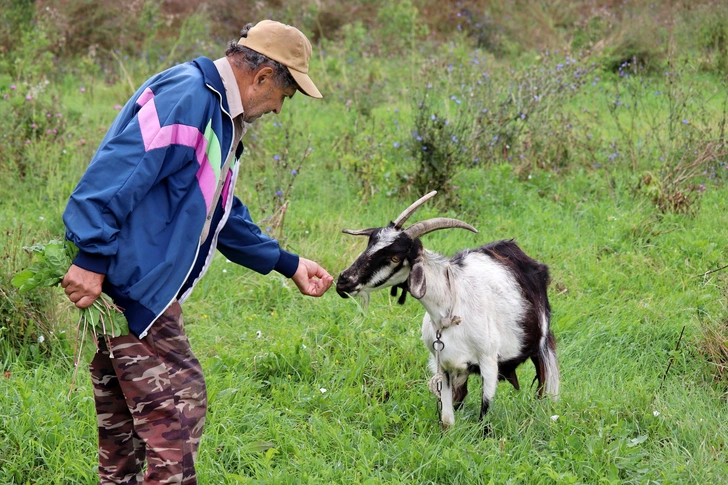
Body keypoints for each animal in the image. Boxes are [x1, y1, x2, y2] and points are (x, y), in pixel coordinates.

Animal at [334, 191, 556, 430]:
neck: (450, 309)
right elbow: (447, 418)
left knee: (544, 382)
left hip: (541, 345)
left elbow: (484, 414)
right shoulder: (444, 364)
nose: (343, 281)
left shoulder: (489, 361)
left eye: (395, 257)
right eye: (370, 244)